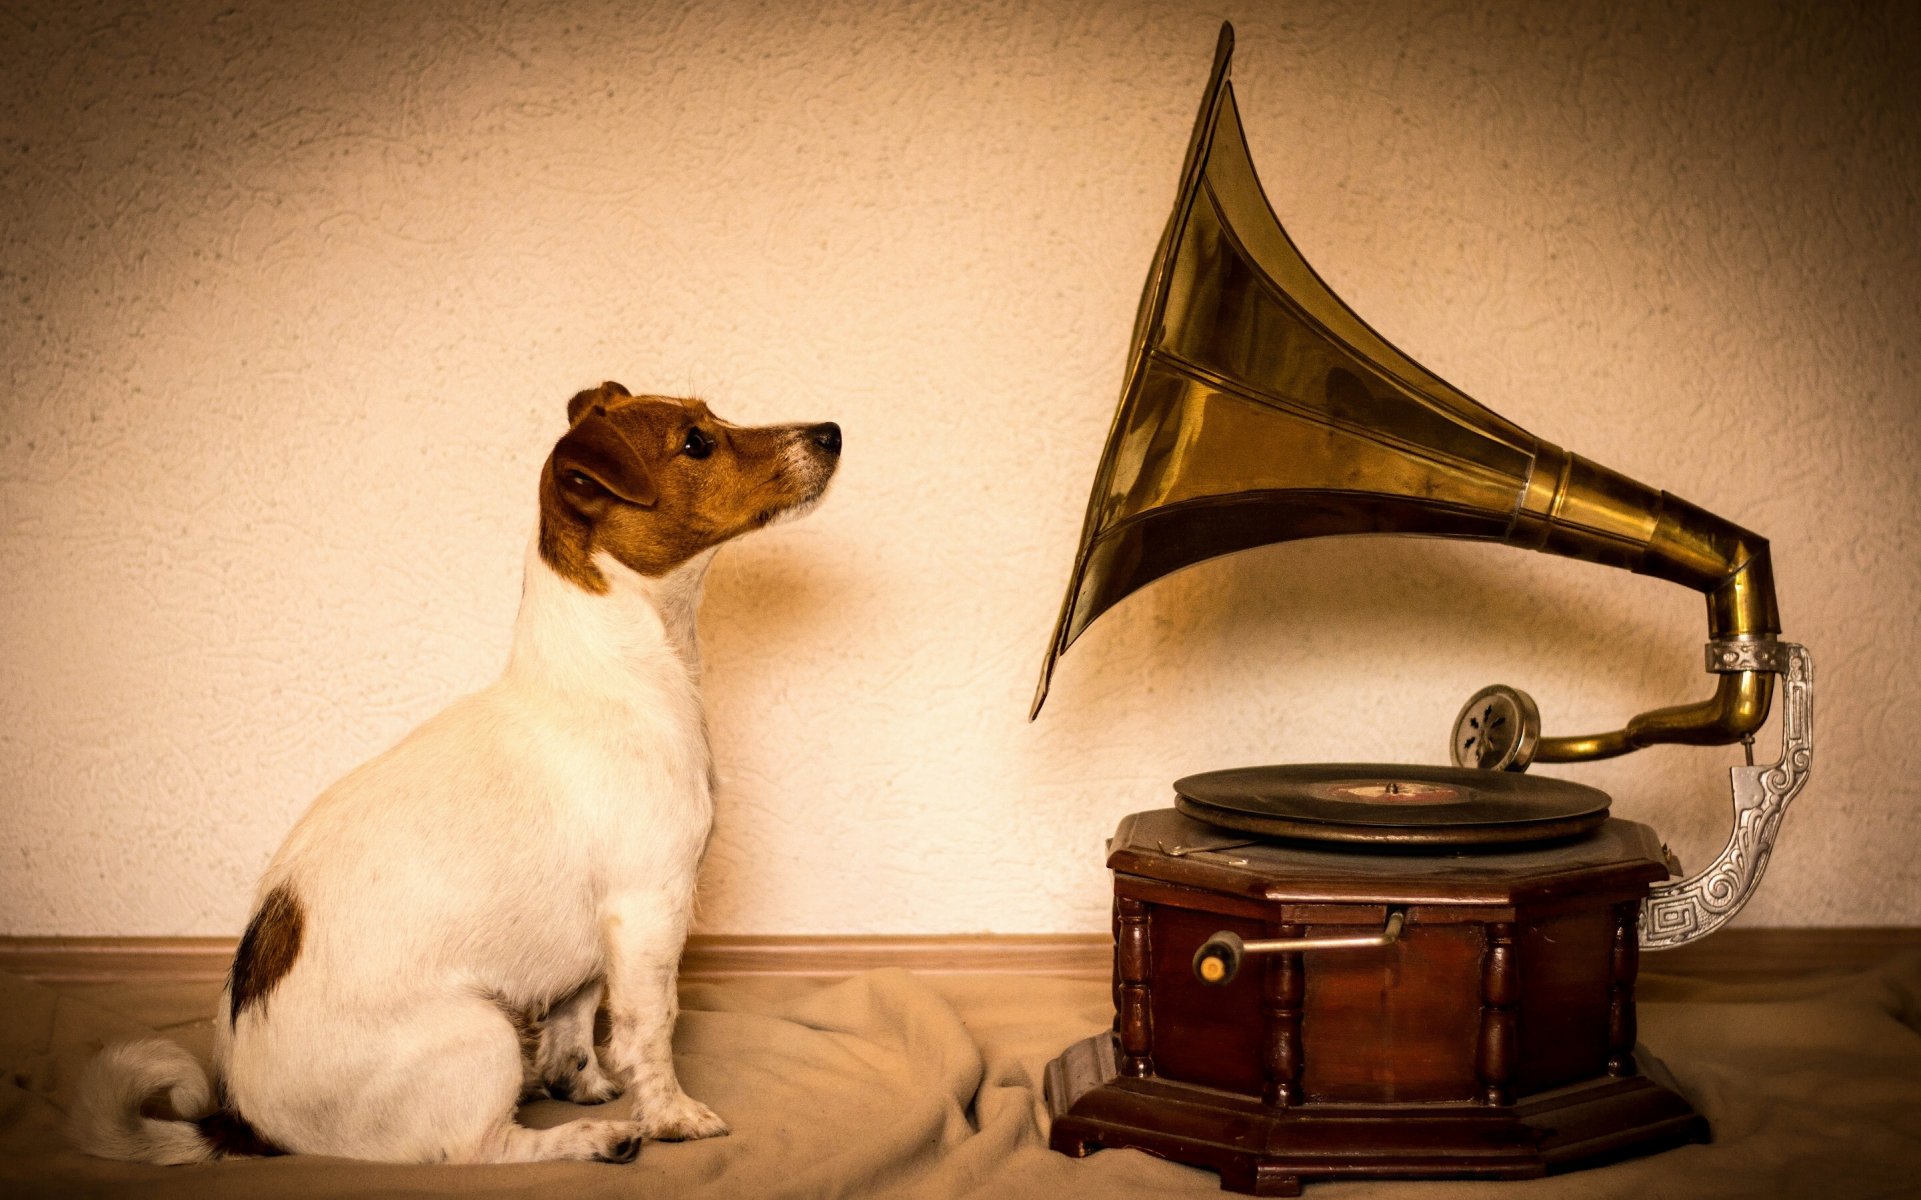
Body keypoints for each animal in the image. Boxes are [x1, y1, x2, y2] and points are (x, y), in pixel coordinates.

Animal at [71, 382, 837, 1159]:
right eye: (696, 443)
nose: (832, 431)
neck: (618, 670)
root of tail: (245, 1121)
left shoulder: (594, 933)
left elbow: (576, 1016)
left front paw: (581, 1081)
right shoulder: (650, 905)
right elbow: (649, 1028)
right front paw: (670, 1116)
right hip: (480, 1029)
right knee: (480, 1150)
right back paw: (592, 1139)